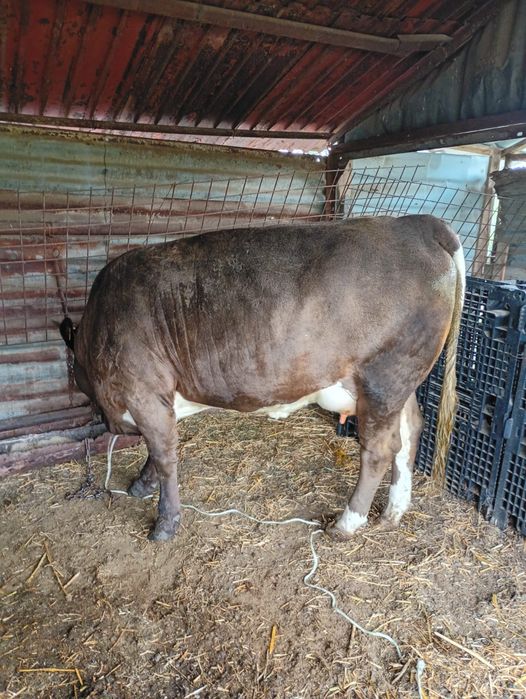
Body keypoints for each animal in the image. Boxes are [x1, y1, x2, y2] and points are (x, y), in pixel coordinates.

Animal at [60, 215, 465, 542]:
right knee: (410, 430)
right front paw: (143, 484)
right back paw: (393, 512)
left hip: (384, 374)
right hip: (399, 379)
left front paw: (165, 523)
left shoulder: (143, 392)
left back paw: (347, 523)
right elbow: (155, 450)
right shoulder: (162, 397)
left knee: (380, 449)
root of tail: (413, 223)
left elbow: (163, 454)